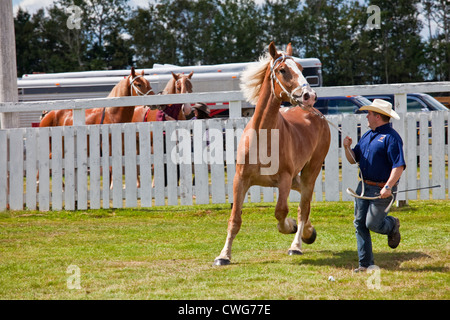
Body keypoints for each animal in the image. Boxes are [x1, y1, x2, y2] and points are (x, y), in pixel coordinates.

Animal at [214, 43, 330, 268]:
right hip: (297, 177)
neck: (262, 137)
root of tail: (316, 114)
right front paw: (223, 256)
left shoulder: (283, 179)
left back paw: (297, 244)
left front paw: (291, 226)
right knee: (304, 197)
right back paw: (308, 232)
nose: (309, 96)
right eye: (282, 70)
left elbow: (281, 212)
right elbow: (234, 219)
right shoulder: (240, 180)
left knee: (304, 206)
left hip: (311, 170)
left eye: (301, 68)